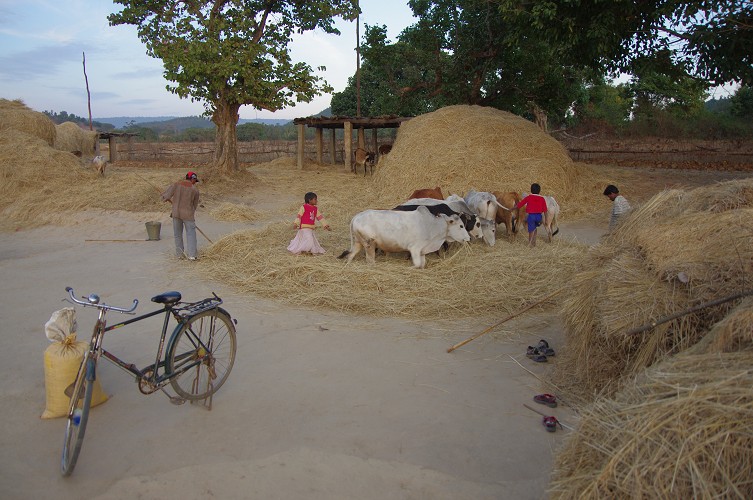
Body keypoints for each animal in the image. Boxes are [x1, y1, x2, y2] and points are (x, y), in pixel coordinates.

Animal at [340, 206, 470, 270]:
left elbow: (422, 264)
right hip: (369, 243)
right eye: (461, 226)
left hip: (358, 242)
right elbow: (417, 264)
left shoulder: (422, 251)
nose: (468, 238)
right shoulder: (415, 248)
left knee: (350, 255)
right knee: (370, 260)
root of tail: (357, 216)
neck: (431, 225)